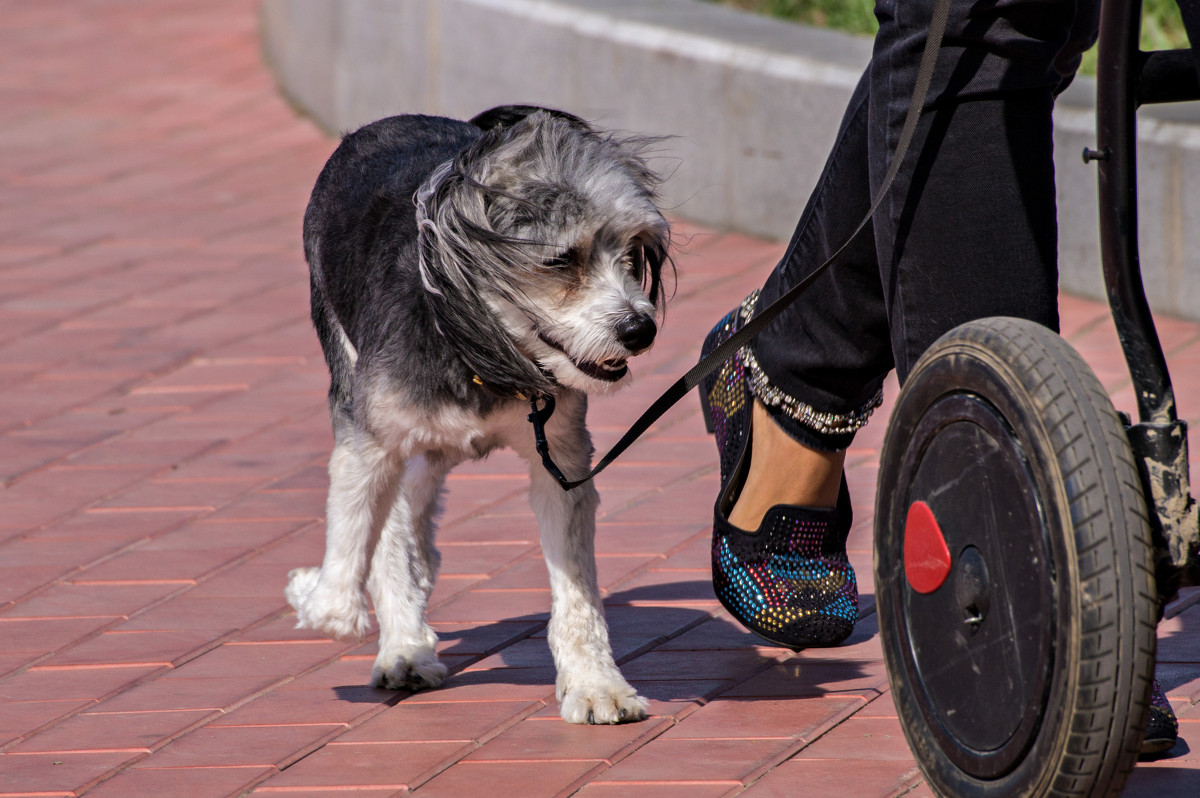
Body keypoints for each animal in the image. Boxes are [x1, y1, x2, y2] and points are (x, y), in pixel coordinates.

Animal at [284, 104, 672, 720]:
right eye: (561, 260)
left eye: (632, 250)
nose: (641, 329)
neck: (474, 350)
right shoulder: (369, 440)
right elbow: (355, 541)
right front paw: (326, 600)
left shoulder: (560, 460)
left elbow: (577, 597)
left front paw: (595, 684)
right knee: (393, 527)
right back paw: (404, 647)